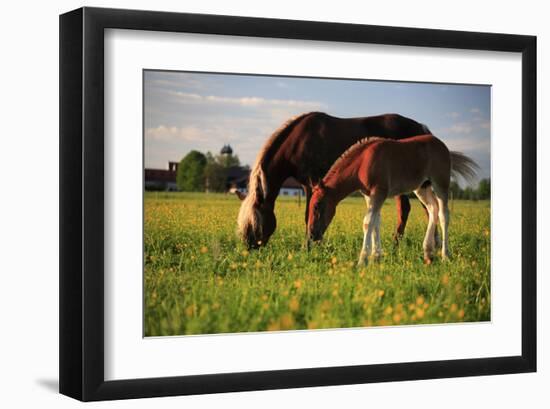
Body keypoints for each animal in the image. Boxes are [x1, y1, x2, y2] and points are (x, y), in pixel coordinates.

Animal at [237, 111, 436, 249]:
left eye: (253, 222)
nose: (249, 247)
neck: (298, 142)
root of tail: (421, 128)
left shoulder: (311, 183)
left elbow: (309, 214)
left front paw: (309, 246)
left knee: (415, 209)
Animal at [308, 134, 480, 264]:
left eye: (317, 206)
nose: (312, 234)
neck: (363, 163)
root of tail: (444, 147)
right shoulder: (369, 196)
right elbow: (376, 222)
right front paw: (376, 257)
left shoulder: (379, 193)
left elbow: (368, 223)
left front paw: (363, 260)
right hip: (422, 187)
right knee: (433, 209)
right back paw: (427, 252)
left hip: (440, 184)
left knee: (444, 215)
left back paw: (445, 255)